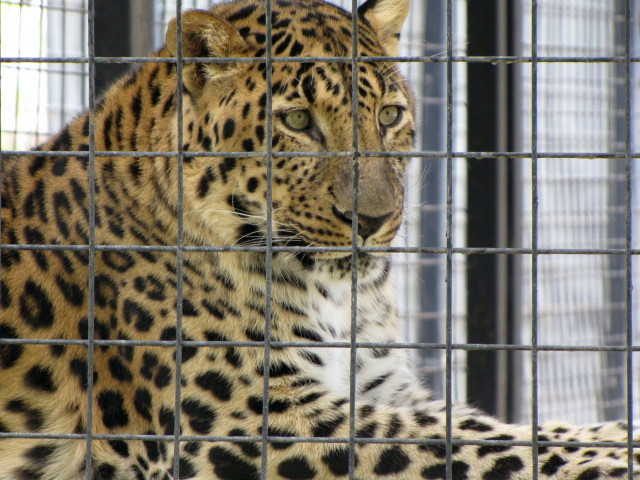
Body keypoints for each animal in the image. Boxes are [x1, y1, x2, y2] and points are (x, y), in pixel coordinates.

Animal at [0, 0, 638, 478]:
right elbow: (455, 440)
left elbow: (478, 421)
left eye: (388, 116)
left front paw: (613, 433)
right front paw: (611, 458)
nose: (374, 219)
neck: (333, 294)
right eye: (298, 123)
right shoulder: (255, 420)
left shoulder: (382, 385)